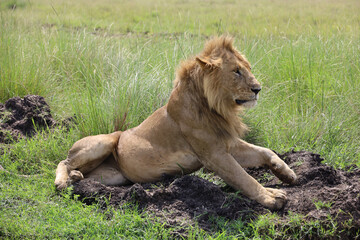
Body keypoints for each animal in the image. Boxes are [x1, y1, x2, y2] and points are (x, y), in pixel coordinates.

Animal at [53, 36, 296, 210]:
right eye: (236, 71)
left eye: (249, 68)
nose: (258, 89)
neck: (217, 107)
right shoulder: (213, 154)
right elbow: (244, 178)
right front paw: (271, 197)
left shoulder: (228, 144)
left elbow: (264, 151)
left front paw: (286, 173)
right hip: (106, 140)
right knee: (65, 161)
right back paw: (63, 181)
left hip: (113, 176)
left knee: (84, 173)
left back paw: (76, 177)